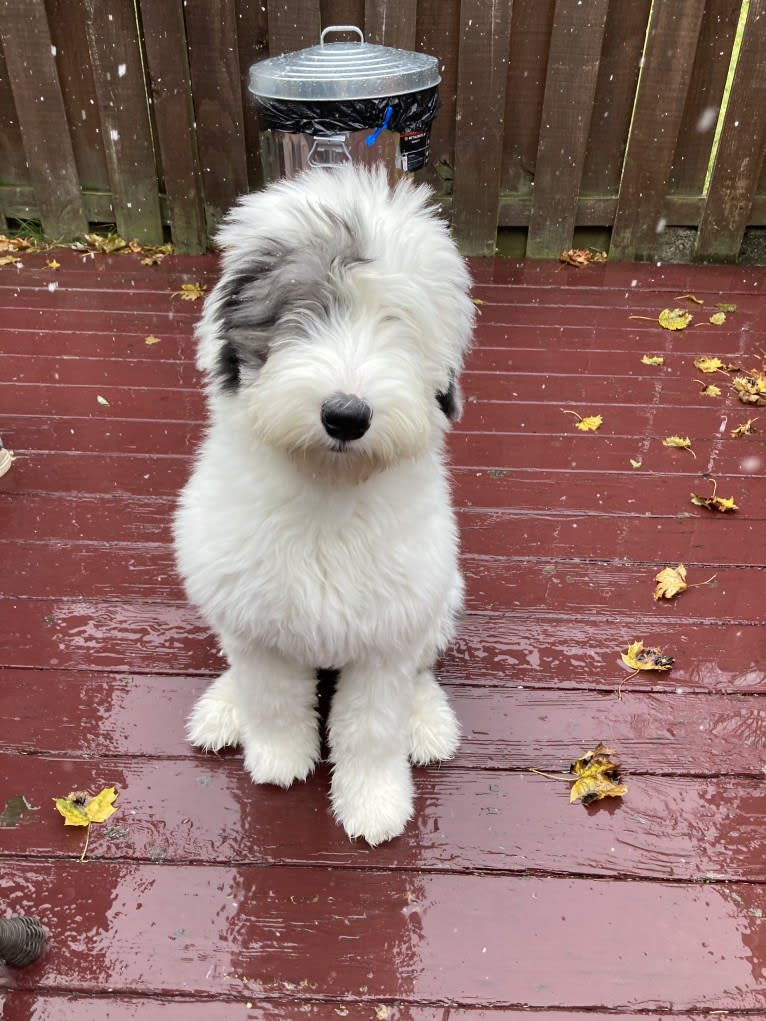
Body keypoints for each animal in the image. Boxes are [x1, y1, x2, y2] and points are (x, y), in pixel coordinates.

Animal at [175, 165, 473, 845]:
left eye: (398, 323)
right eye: (301, 312)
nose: (346, 415)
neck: (328, 491)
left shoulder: (389, 631)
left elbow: (371, 724)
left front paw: (374, 804)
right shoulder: (257, 623)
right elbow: (273, 698)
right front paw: (280, 760)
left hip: (441, 598)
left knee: (420, 671)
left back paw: (428, 722)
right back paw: (222, 709)